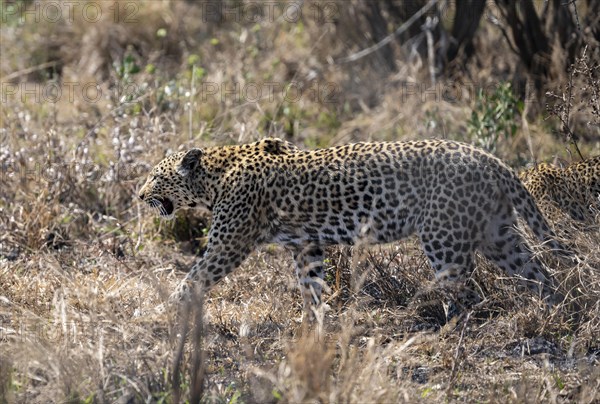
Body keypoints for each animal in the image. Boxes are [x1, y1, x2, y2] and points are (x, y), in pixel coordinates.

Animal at [139, 139, 568, 316]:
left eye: (156, 177)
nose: (139, 195)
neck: (214, 176)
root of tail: (492, 160)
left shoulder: (228, 244)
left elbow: (193, 277)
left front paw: (163, 310)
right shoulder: (306, 246)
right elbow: (311, 285)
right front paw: (314, 324)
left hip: (443, 239)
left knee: (465, 288)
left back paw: (447, 324)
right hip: (499, 235)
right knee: (537, 271)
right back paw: (555, 308)